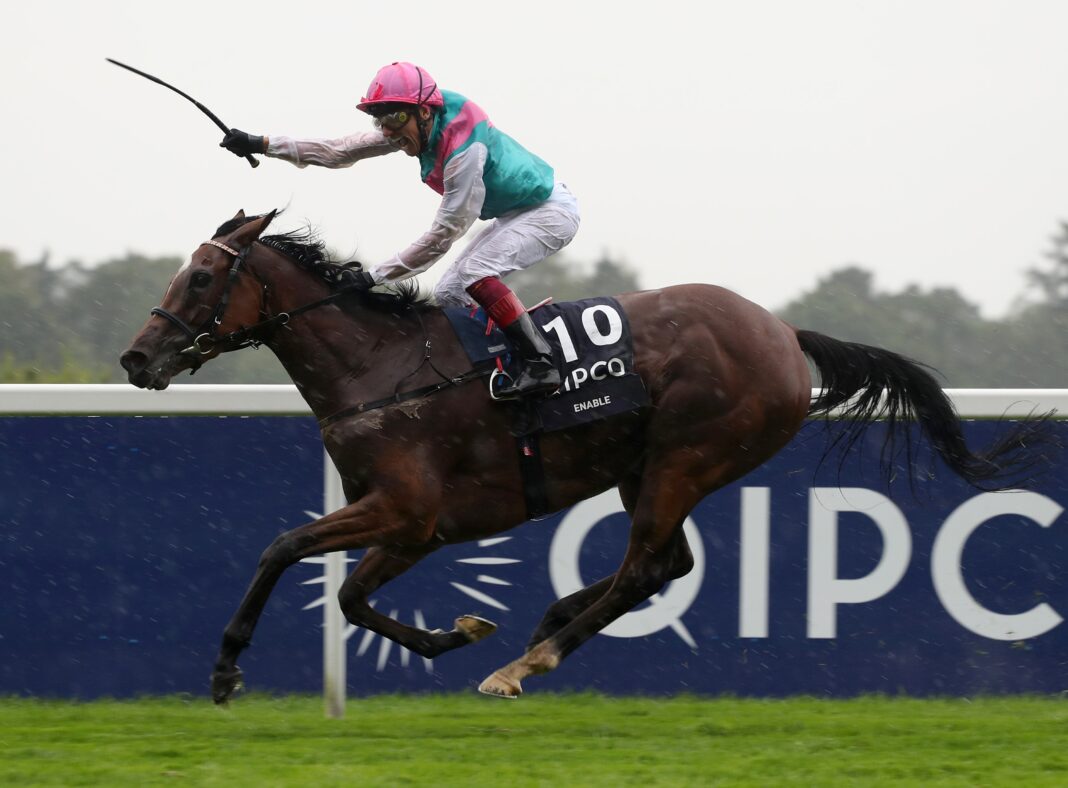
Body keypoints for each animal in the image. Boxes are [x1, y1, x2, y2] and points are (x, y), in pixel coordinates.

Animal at [119, 209, 1050, 700]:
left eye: (201, 279)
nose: (136, 358)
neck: (380, 371)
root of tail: (784, 333)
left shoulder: (406, 509)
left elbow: (283, 548)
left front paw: (227, 666)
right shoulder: (417, 525)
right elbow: (349, 596)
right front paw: (454, 632)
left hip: (687, 452)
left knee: (645, 567)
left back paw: (528, 660)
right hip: (650, 468)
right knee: (666, 563)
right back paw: (548, 622)